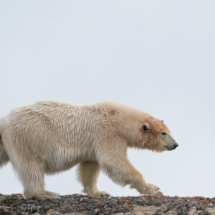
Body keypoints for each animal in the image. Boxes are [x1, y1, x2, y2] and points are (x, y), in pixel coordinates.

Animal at [0, 100, 178, 198]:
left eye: (169, 131)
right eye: (163, 133)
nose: (176, 145)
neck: (120, 118)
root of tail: (5, 120)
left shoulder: (93, 144)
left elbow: (90, 167)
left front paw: (99, 193)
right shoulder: (108, 133)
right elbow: (113, 160)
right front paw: (153, 188)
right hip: (30, 137)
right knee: (31, 165)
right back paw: (45, 193)